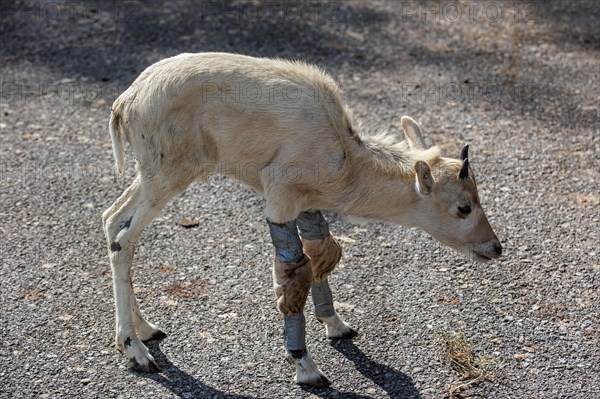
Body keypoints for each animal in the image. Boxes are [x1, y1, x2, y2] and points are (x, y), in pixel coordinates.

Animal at [103, 53, 502, 388]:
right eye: (463, 207)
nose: (495, 248)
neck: (344, 155)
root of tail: (127, 100)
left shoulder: (308, 205)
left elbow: (323, 253)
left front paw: (338, 326)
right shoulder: (280, 200)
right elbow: (296, 272)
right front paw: (308, 369)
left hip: (152, 177)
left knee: (112, 219)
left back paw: (147, 329)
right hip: (169, 175)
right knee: (125, 238)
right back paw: (135, 349)